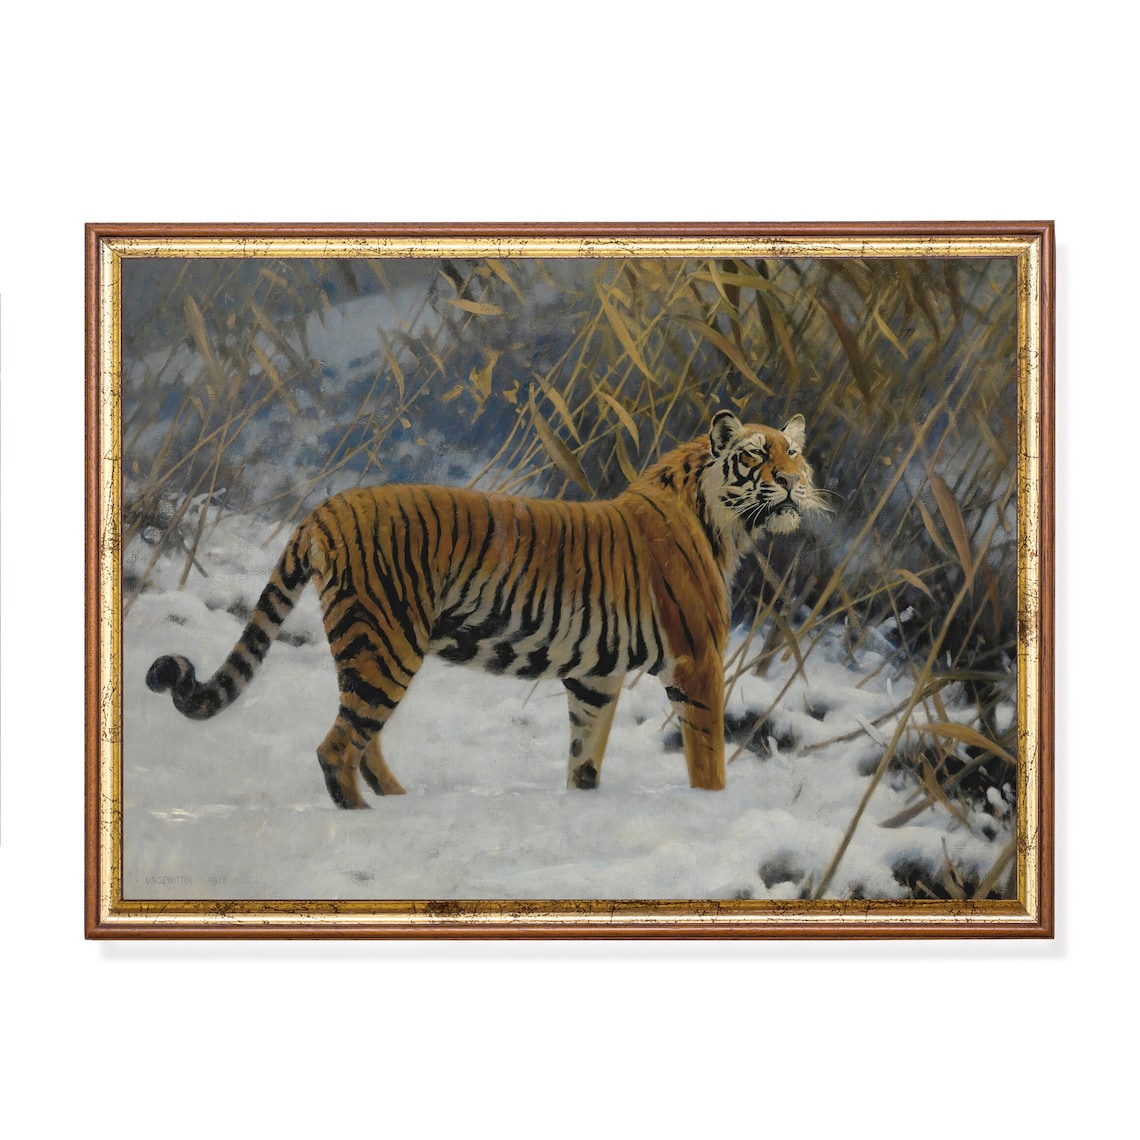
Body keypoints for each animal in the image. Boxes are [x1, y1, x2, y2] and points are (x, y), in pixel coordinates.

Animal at [146, 410, 826, 808]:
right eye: (758, 455)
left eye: (794, 454)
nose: (794, 483)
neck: (725, 523)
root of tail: (327, 506)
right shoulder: (697, 659)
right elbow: (707, 759)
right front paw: (710, 809)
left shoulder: (595, 678)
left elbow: (584, 757)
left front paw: (582, 805)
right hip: (387, 643)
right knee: (338, 747)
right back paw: (369, 818)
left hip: (371, 649)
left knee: (362, 739)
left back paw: (399, 801)